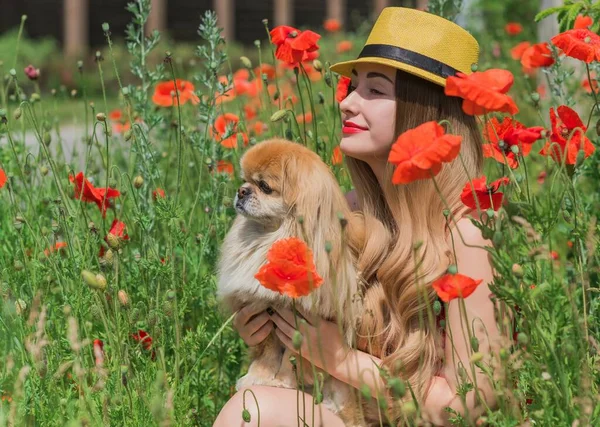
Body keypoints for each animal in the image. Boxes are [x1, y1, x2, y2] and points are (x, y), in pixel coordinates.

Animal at [216, 140, 366, 424]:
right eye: (244, 180)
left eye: (264, 186)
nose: (241, 191)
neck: (270, 238)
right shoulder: (264, 311)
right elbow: (268, 352)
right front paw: (258, 377)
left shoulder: (303, 322)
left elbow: (291, 357)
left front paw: (282, 383)